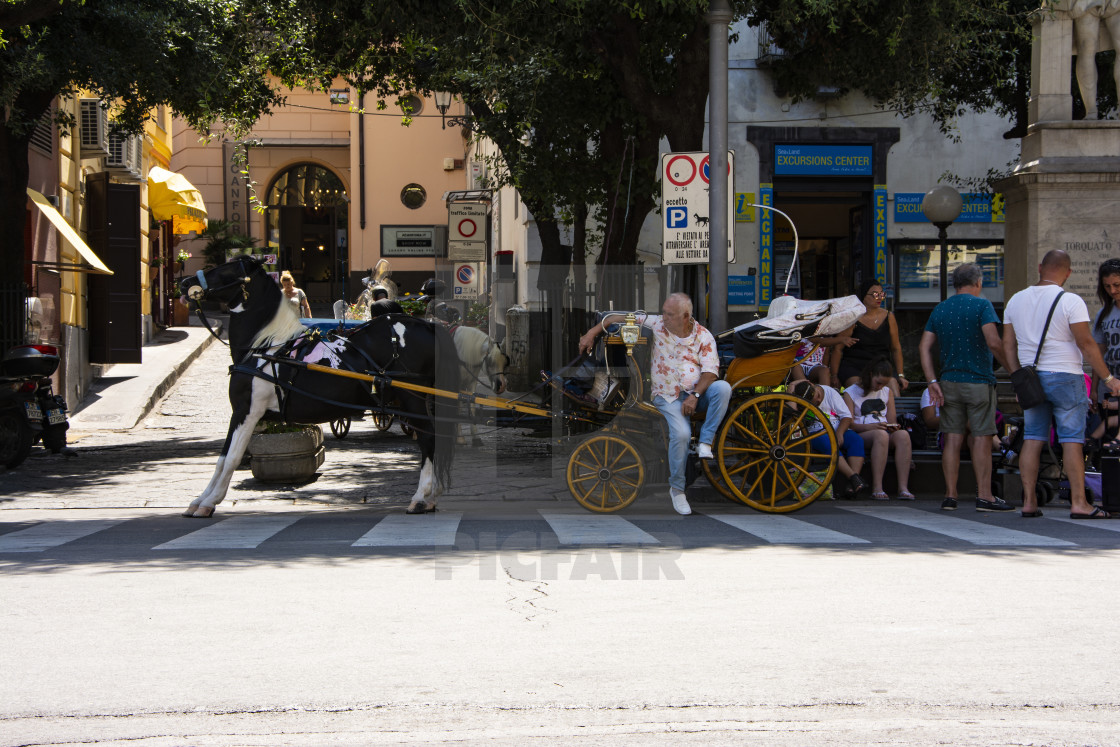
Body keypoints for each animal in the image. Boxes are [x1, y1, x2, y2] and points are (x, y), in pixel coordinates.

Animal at [176, 257, 456, 519]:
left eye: (226, 269)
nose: (185, 283)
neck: (266, 347)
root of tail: (426, 325)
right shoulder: (249, 414)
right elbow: (225, 458)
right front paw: (201, 500)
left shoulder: (246, 410)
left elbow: (229, 458)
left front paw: (208, 501)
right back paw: (431, 497)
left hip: (413, 398)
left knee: (428, 438)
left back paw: (421, 497)